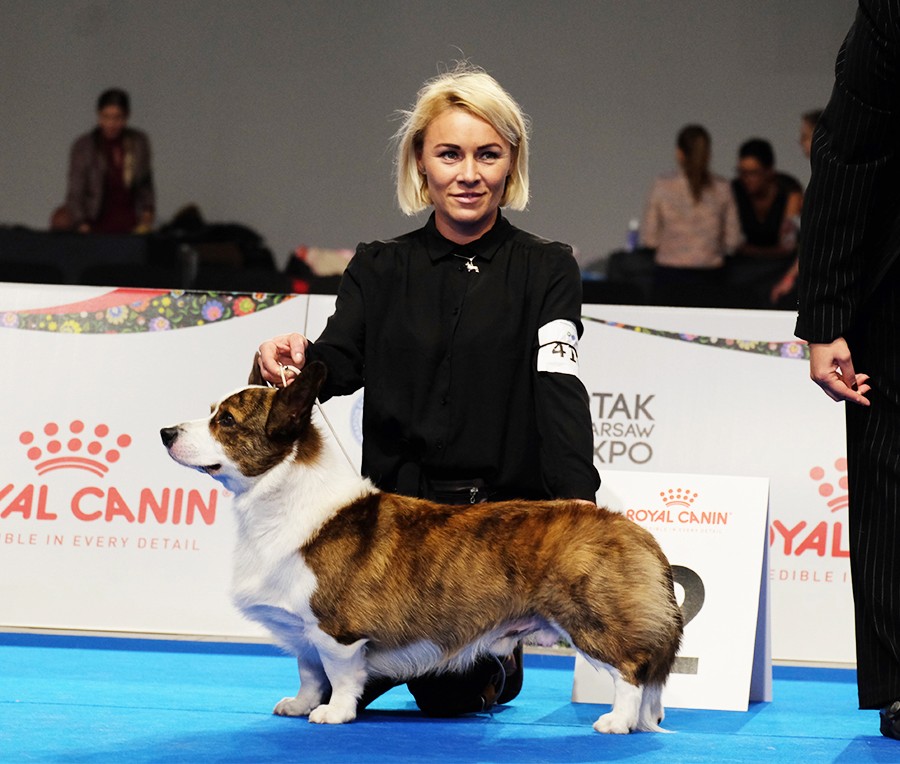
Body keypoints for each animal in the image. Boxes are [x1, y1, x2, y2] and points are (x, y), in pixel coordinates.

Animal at [160, 360, 683, 734]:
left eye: (227, 421)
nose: (165, 432)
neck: (279, 499)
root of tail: (634, 531)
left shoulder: (335, 630)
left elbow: (340, 675)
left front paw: (333, 714)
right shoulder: (302, 629)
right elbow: (309, 671)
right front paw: (300, 705)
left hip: (590, 619)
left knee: (632, 669)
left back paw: (616, 722)